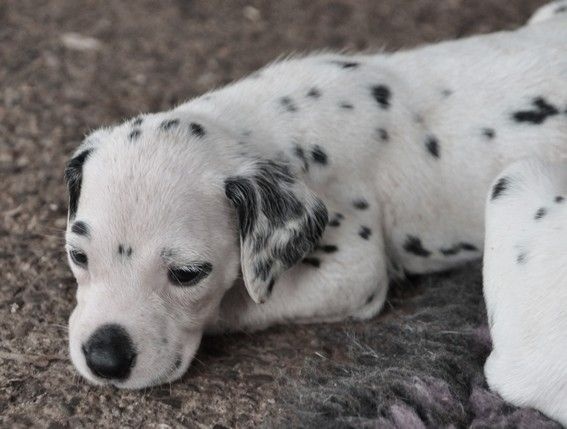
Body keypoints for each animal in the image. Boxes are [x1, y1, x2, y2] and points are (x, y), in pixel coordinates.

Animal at [64, 0, 567, 411]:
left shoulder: (353, 269)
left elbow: (243, 300)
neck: (267, 124)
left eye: (188, 274)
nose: (104, 359)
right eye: (77, 255)